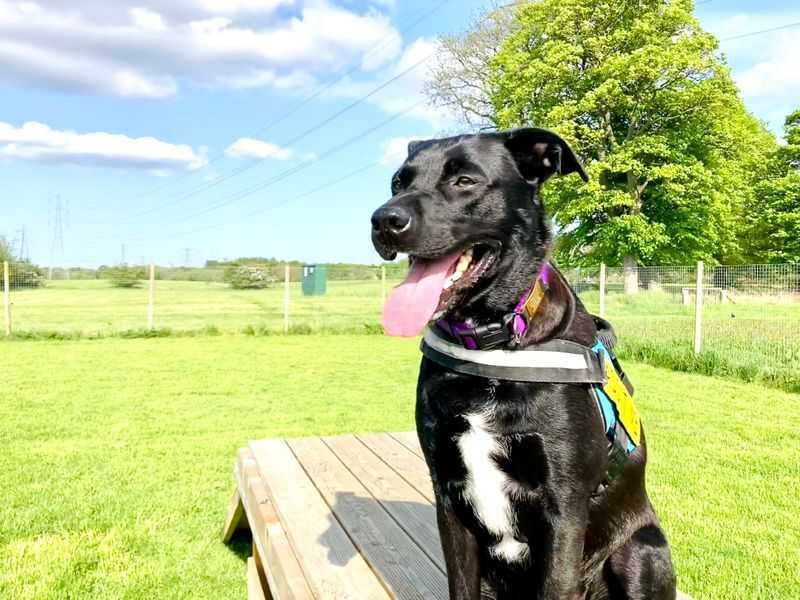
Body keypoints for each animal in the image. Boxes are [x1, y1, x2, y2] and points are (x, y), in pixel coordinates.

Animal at [370, 131, 676, 600]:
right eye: (397, 183)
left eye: (464, 180)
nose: (384, 220)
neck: (493, 345)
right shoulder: (448, 496)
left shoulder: (563, 508)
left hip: (642, 550)